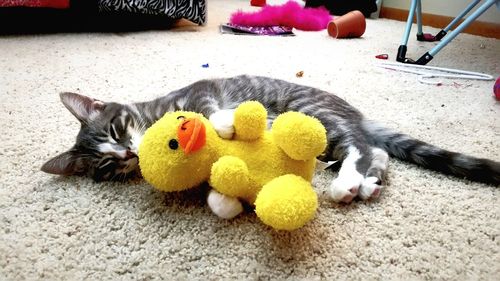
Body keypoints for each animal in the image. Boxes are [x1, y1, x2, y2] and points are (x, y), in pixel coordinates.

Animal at [41, 74, 498, 214]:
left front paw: (224, 124)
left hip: (314, 114)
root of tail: (352, 110)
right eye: (105, 165)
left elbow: (207, 110)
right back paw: (364, 183)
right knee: (379, 151)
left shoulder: (201, 91)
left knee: (361, 146)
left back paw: (347, 182)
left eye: (116, 130)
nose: (128, 154)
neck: (151, 113)